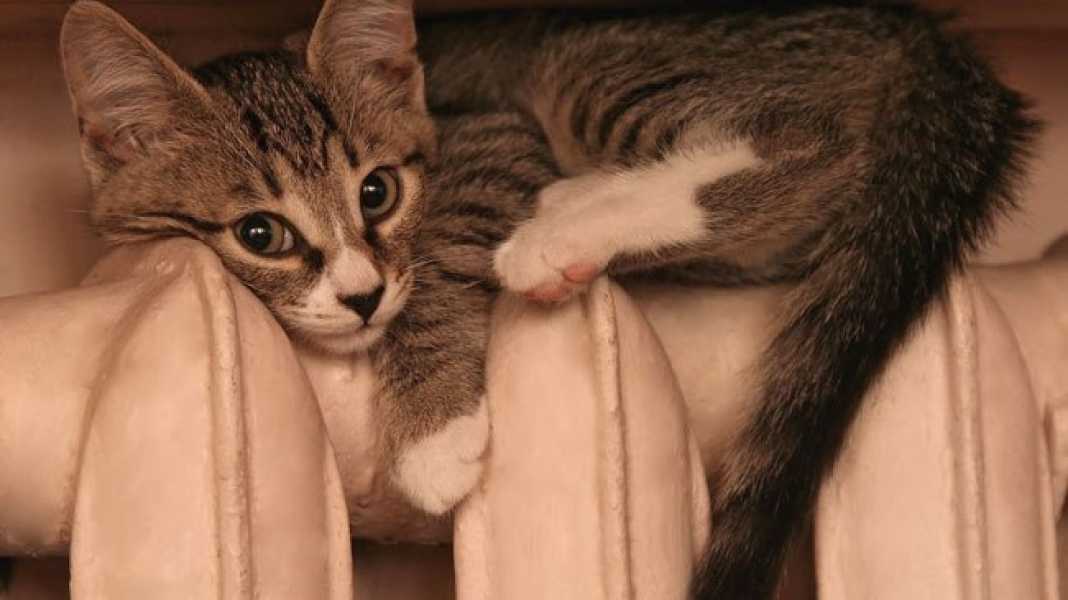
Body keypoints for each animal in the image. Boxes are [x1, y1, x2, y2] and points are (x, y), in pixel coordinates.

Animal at [54, 1, 1037, 599]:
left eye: (377, 193)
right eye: (260, 234)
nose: (363, 296)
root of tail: (925, 34)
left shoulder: (490, 130)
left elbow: (443, 258)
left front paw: (434, 435)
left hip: (595, 62)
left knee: (813, 141)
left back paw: (562, 227)